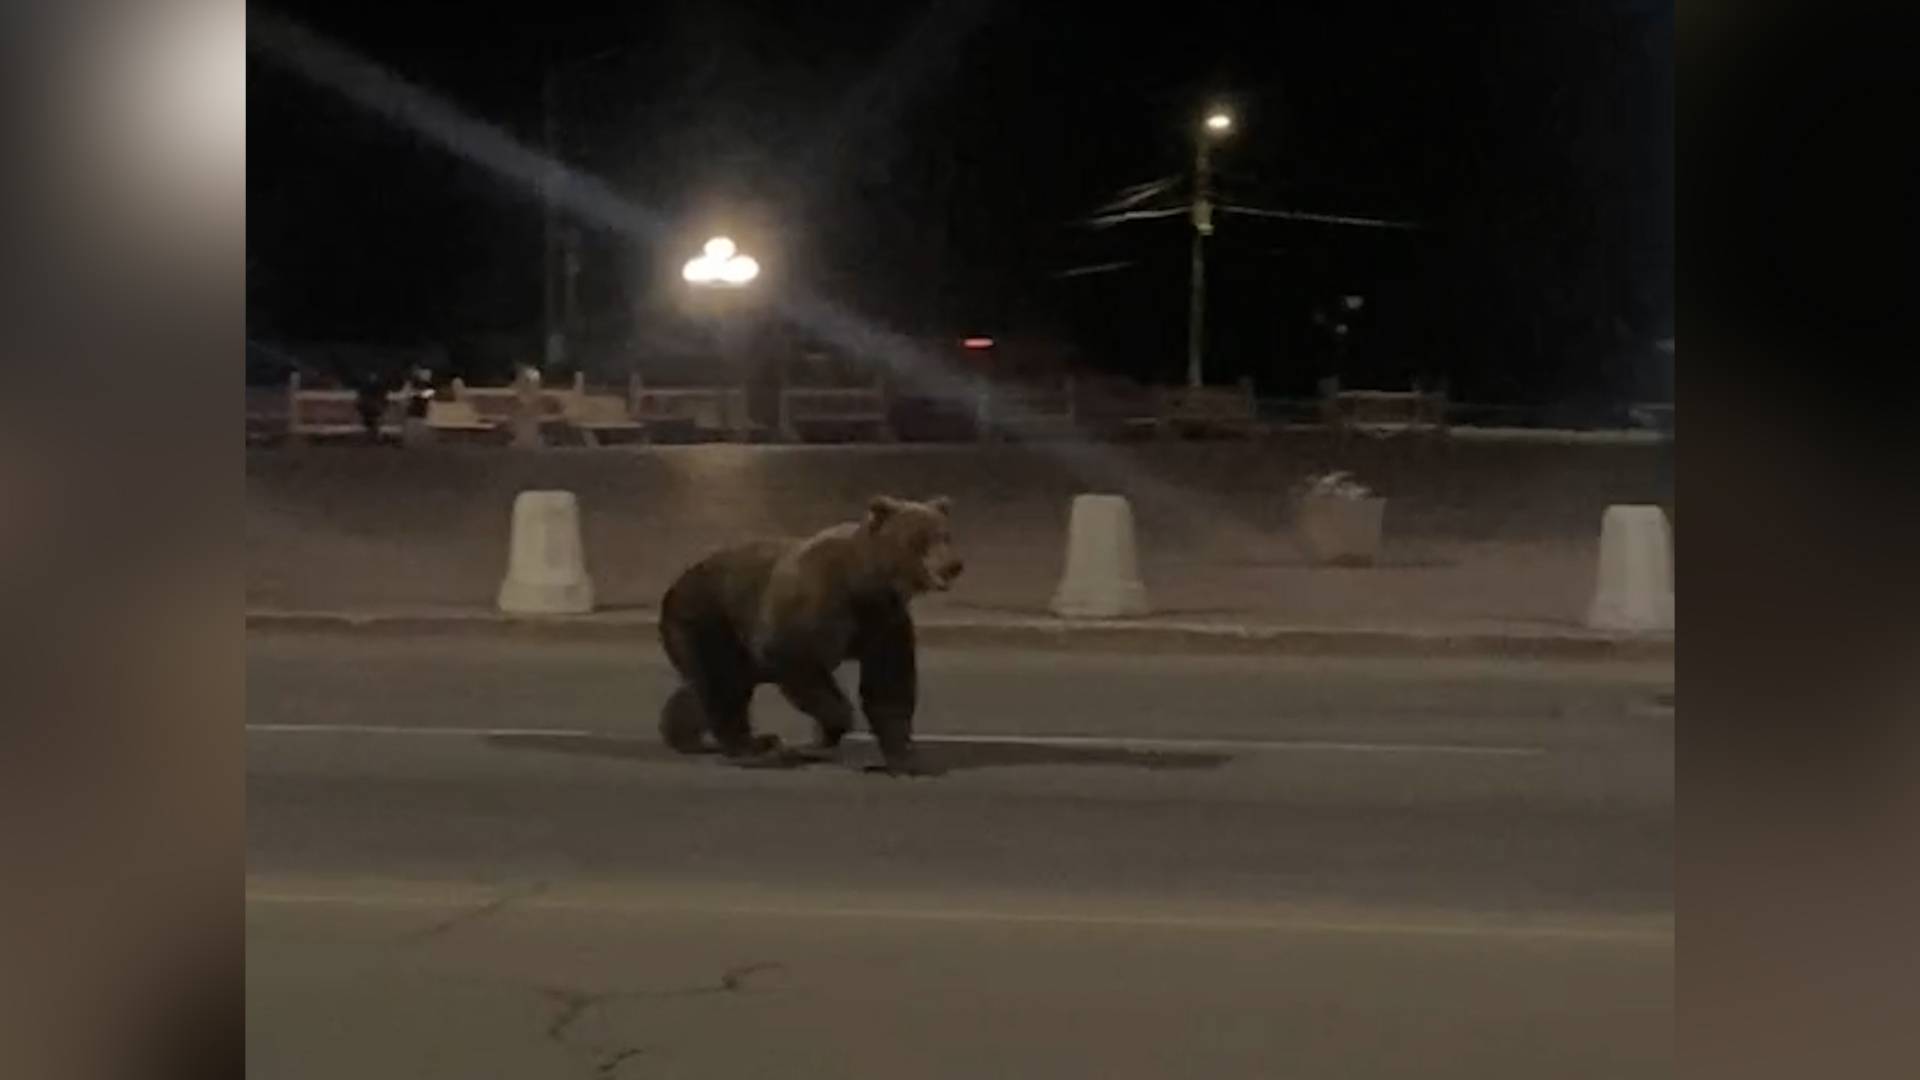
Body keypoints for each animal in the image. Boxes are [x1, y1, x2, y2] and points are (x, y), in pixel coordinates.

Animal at [656, 491, 960, 768]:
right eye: (921, 538)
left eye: (946, 535)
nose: (953, 565)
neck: (864, 584)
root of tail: (673, 587)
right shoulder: (817, 605)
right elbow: (797, 659)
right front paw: (830, 729)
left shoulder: (883, 620)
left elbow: (889, 681)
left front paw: (903, 753)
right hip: (710, 617)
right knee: (722, 682)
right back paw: (753, 746)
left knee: (708, 685)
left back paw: (686, 736)